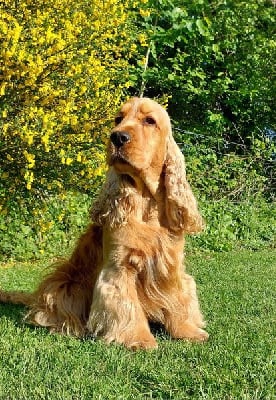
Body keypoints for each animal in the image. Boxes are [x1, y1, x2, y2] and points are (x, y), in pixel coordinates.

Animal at [0, 97, 207, 350]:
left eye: (150, 121)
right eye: (118, 119)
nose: (117, 137)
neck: (147, 202)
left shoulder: (172, 266)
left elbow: (178, 299)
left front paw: (188, 331)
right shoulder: (119, 267)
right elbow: (126, 304)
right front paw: (139, 339)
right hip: (66, 284)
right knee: (48, 313)